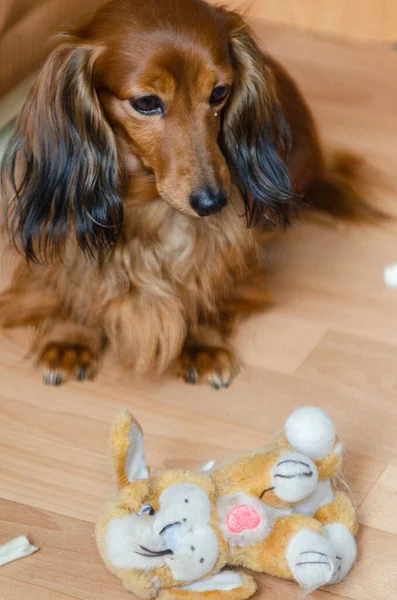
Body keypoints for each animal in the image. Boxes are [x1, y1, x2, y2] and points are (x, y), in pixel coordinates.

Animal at [0, 0, 378, 386]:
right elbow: (74, 283)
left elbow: (210, 279)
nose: (213, 202)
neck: (150, 205)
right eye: (146, 102)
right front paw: (70, 337)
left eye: (220, 92)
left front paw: (203, 342)